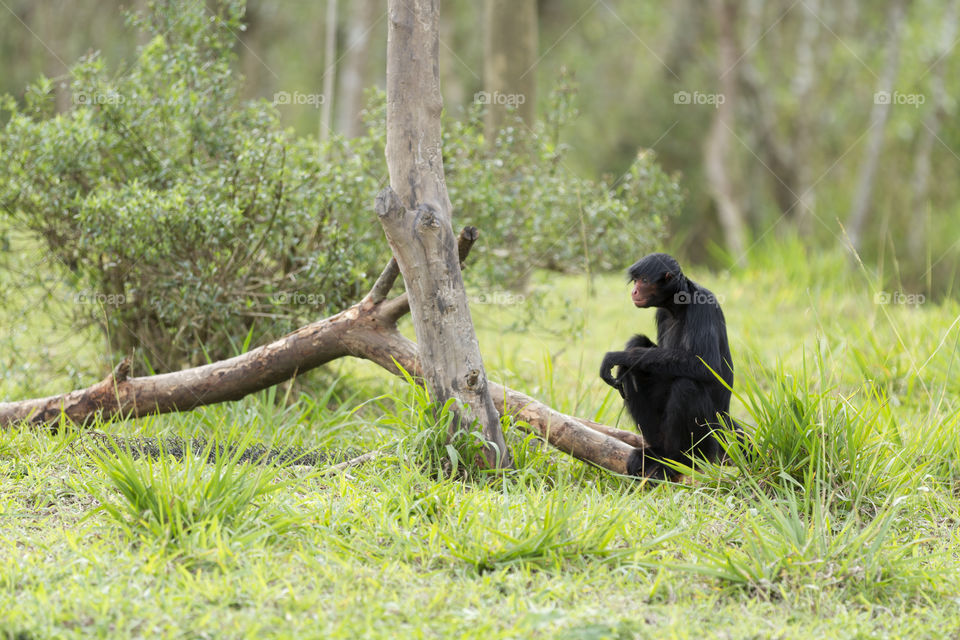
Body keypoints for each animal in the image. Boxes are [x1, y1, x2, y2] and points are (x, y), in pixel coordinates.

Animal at [600, 252, 744, 478]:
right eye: (635, 280)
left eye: (644, 280)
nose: (634, 290)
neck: (679, 306)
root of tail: (725, 419)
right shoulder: (662, 314)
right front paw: (629, 354)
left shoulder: (702, 305)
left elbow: (705, 366)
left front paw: (620, 356)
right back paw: (657, 451)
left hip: (711, 437)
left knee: (686, 386)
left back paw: (677, 460)